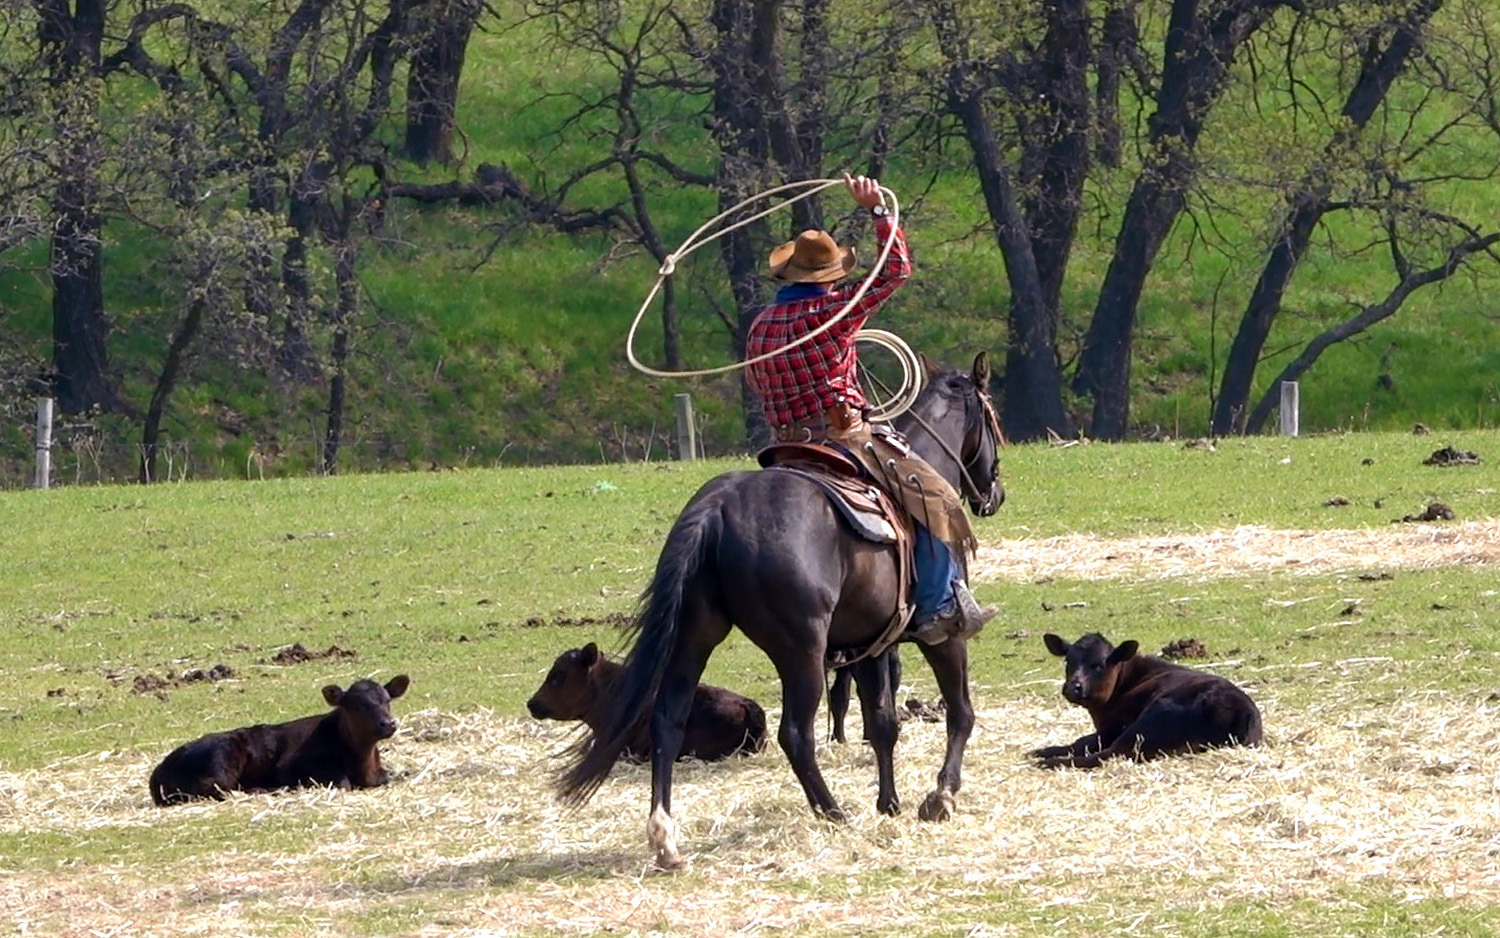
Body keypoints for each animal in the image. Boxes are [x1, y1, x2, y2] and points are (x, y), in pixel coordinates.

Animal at [556, 351, 1005, 870]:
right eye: (994, 418)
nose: (994, 494)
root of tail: (718, 506)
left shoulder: (871, 645)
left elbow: (882, 724)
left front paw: (888, 804)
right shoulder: (944, 635)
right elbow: (960, 712)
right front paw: (940, 796)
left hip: (694, 636)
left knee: (667, 720)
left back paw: (665, 836)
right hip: (800, 651)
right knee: (795, 733)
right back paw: (832, 812)